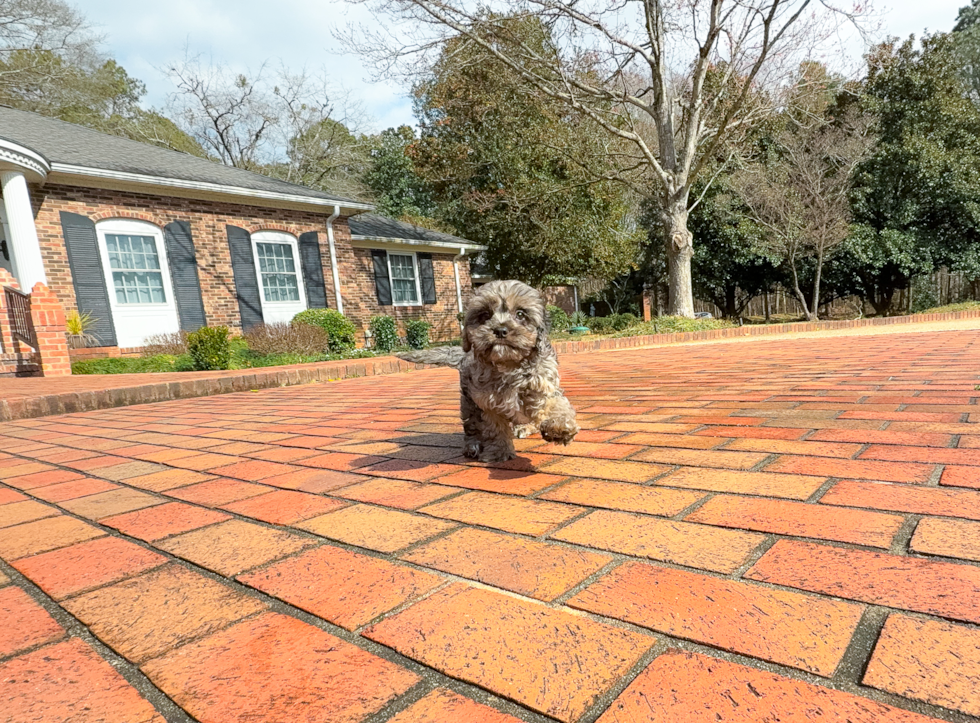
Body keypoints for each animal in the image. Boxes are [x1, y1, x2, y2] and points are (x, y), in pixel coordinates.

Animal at [396, 280, 580, 460]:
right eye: (484, 315)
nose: (500, 330)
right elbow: (494, 428)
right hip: (468, 401)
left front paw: (559, 428)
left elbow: (554, 404)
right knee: (471, 425)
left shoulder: (542, 383)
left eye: (520, 314)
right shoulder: (486, 400)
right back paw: (472, 446)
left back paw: (525, 427)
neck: (508, 365)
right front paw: (500, 452)